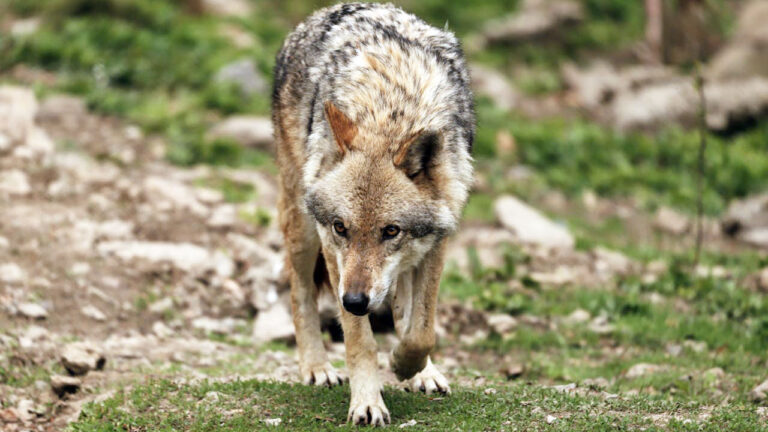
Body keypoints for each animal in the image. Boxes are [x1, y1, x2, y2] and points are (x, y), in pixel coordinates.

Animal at [272, 2, 474, 426]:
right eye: (341, 227)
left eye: (391, 231)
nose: (354, 301)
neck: (391, 109)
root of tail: (317, 15)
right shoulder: (332, 249)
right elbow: (359, 341)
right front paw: (367, 401)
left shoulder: (436, 240)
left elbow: (422, 329)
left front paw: (406, 366)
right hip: (302, 229)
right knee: (300, 293)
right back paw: (317, 367)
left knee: (402, 308)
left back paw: (422, 372)